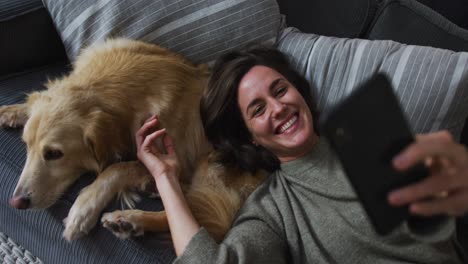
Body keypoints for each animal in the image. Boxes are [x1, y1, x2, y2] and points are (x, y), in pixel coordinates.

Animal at [0, 38, 266, 242]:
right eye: (26, 146)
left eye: (54, 154)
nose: (17, 202)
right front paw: (12, 111)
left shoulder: (175, 158)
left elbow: (117, 168)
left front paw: (83, 208)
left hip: (211, 165)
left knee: (195, 218)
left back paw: (129, 219)